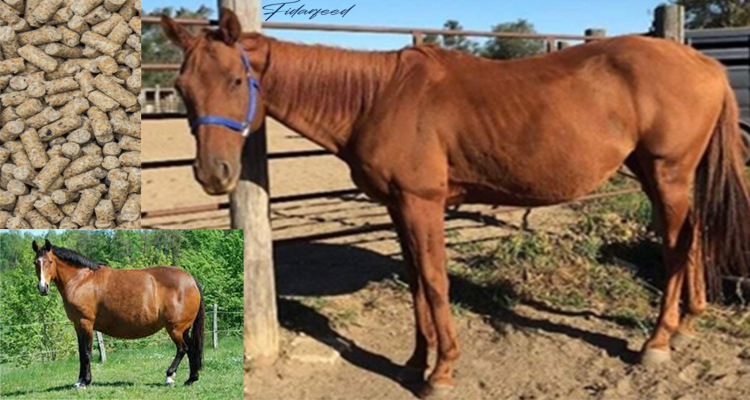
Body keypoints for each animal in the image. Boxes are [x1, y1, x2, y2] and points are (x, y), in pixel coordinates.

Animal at [32, 239, 205, 388]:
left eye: (50, 262)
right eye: (36, 262)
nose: (43, 288)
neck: (81, 280)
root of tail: (191, 280)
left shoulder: (85, 323)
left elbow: (87, 353)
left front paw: (85, 381)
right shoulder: (77, 325)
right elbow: (82, 353)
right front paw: (80, 380)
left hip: (175, 328)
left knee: (183, 349)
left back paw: (170, 376)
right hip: (184, 329)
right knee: (191, 348)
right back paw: (191, 379)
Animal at [161, 10, 750, 398]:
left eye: (236, 79)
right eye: (182, 86)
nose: (213, 174)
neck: (378, 98)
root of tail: (704, 64)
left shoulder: (423, 203)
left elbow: (435, 281)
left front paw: (441, 373)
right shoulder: (399, 207)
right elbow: (416, 284)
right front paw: (414, 363)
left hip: (668, 172)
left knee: (676, 245)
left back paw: (657, 341)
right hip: (659, 174)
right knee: (693, 235)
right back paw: (689, 321)